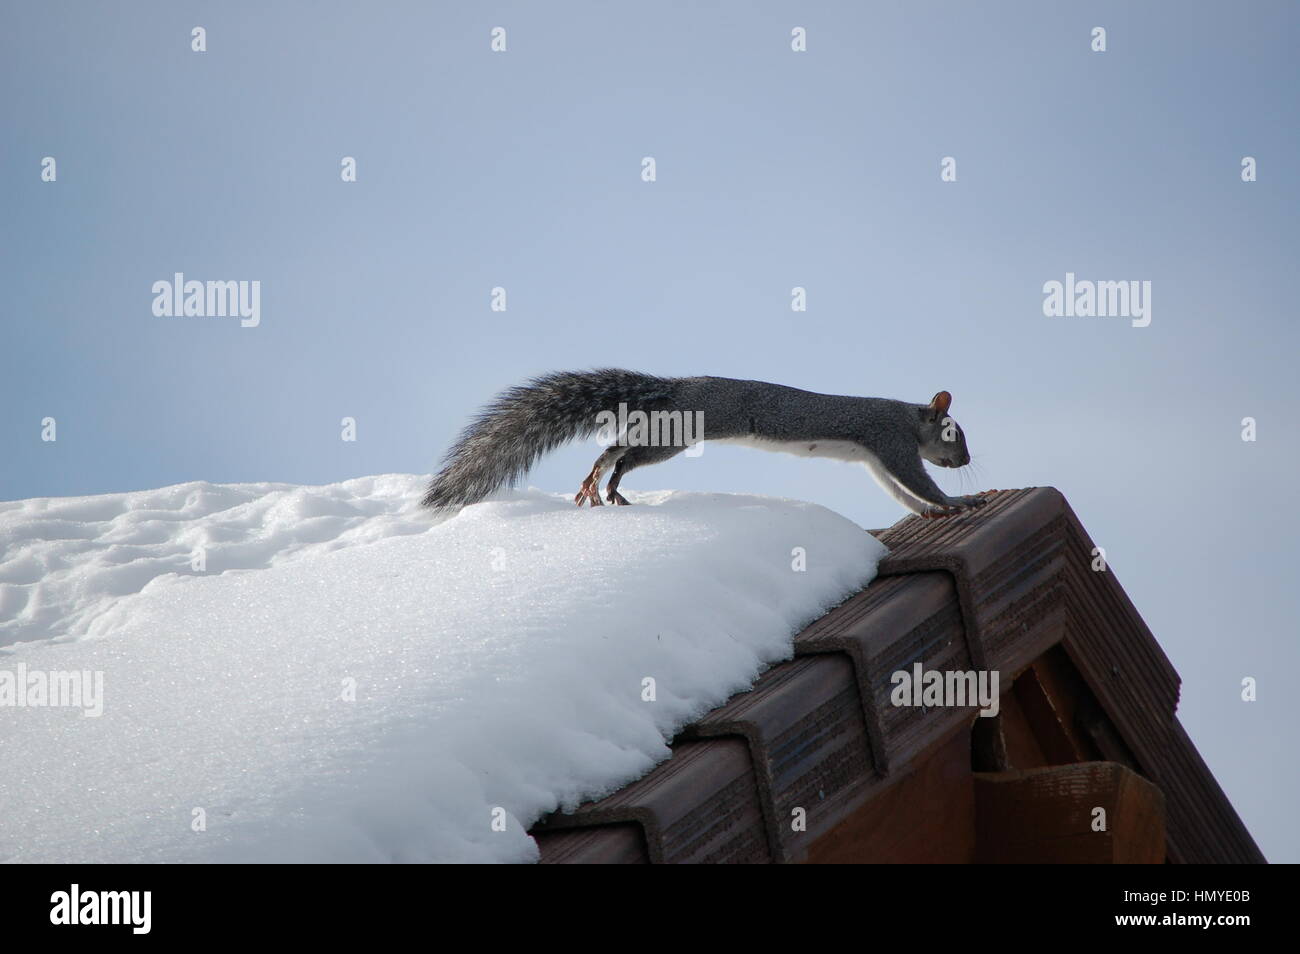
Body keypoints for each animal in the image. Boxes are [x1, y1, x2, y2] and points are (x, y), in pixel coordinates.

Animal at [421, 368, 995, 518]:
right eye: (954, 433)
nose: (966, 459)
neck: (906, 417)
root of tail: (677, 386)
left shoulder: (877, 458)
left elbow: (901, 493)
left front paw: (932, 512)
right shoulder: (890, 441)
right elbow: (918, 481)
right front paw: (959, 500)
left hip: (662, 426)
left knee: (622, 446)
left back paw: (606, 483)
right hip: (676, 433)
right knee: (621, 450)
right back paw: (603, 477)